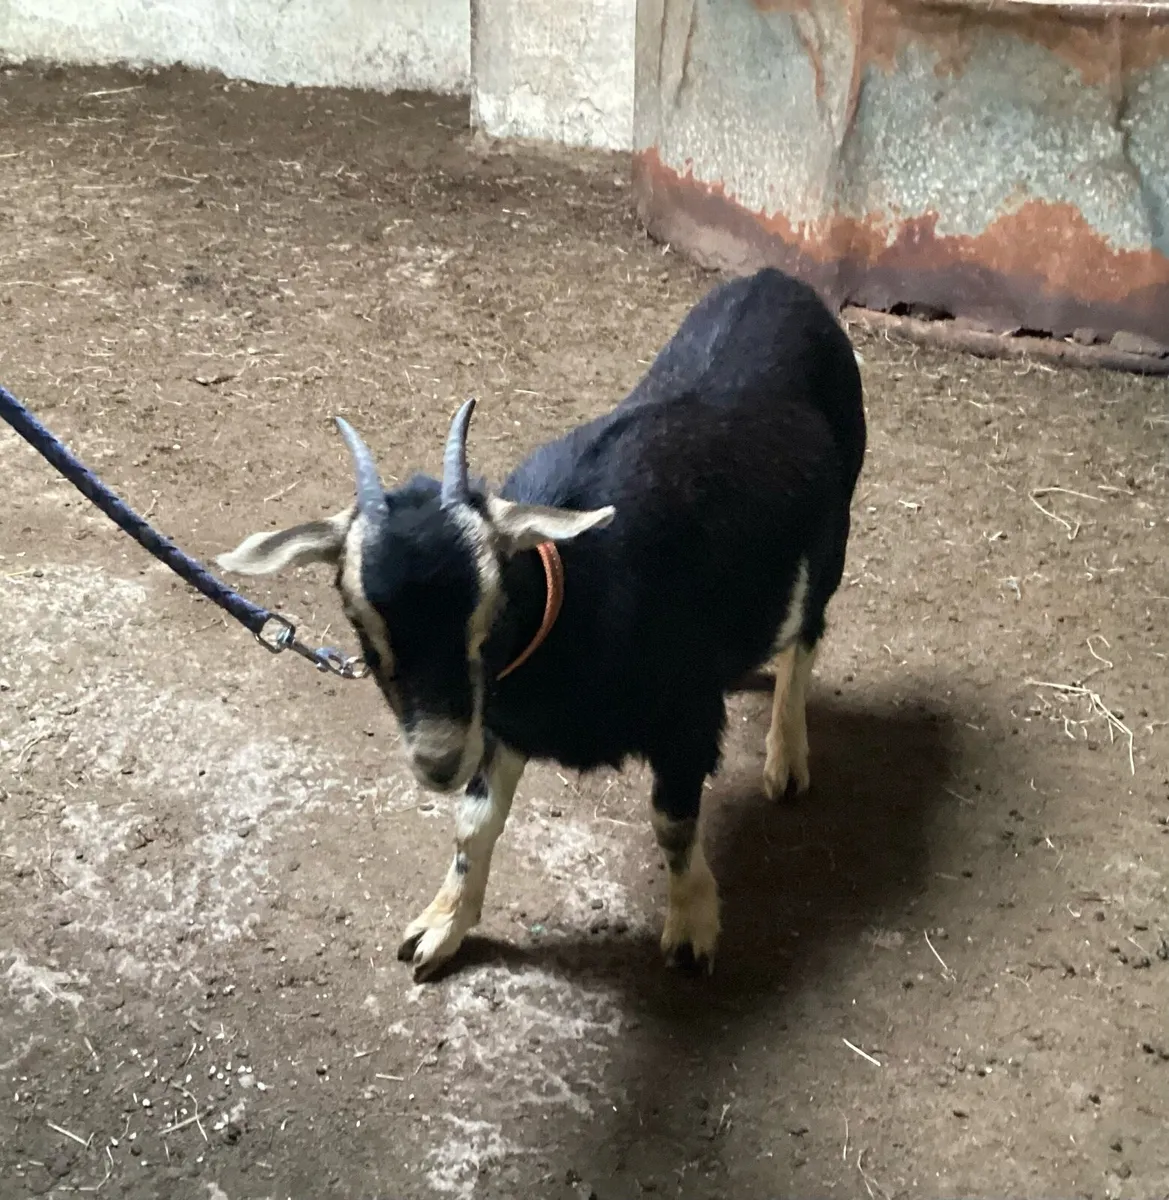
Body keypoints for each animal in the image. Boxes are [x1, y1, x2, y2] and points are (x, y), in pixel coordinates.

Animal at [216, 267, 866, 980]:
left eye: (491, 611)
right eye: (361, 622)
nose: (437, 761)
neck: (577, 599)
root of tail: (779, 279)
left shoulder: (686, 717)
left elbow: (672, 823)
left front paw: (692, 928)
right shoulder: (498, 725)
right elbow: (473, 825)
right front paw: (441, 927)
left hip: (833, 534)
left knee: (807, 633)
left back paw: (786, 758)